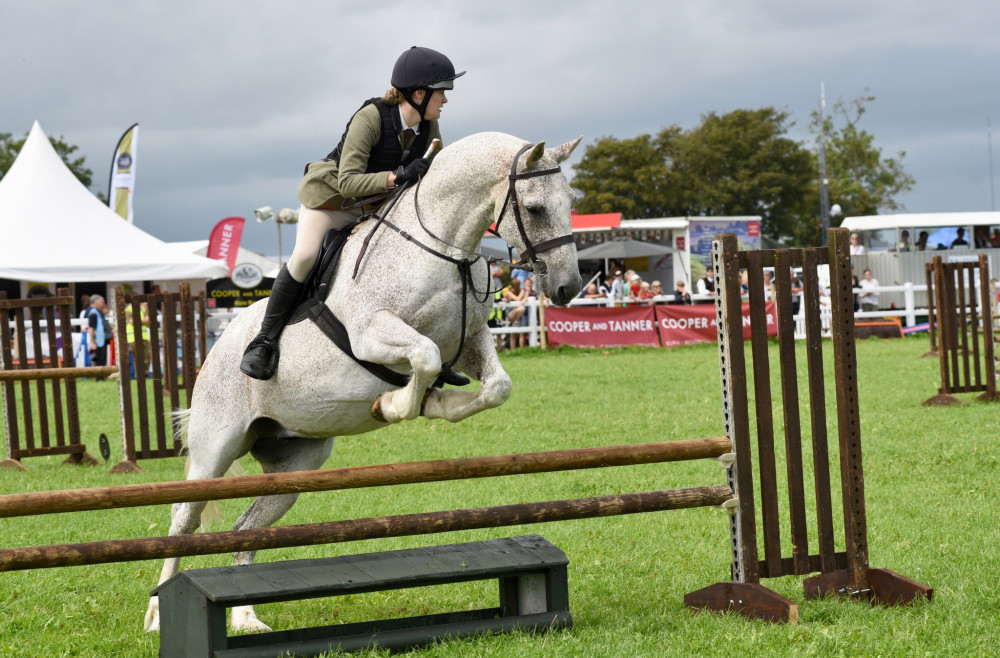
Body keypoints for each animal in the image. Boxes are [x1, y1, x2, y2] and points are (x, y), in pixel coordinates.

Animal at [144, 132, 584, 632]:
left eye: (571, 202)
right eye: (534, 208)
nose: (569, 287)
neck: (442, 246)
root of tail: (215, 351)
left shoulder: (471, 339)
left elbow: (495, 386)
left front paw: (435, 404)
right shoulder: (371, 333)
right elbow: (424, 356)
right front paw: (393, 406)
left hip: (295, 465)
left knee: (245, 529)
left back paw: (244, 617)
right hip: (215, 447)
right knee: (183, 521)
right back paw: (158, 614)